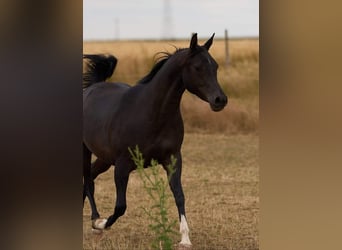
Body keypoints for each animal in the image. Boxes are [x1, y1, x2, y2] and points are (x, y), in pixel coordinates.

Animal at [82, 33, 227, 246]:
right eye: (197, 67)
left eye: (215, 66)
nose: (220, 100)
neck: (152, 113)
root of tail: (91, 88)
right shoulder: (123, 165)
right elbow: (120, 206)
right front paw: (101, 223)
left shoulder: (172, 159)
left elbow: (179, 195)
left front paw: (185, 239)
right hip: (86, 151)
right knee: (87, 180)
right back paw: (95, 220)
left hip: (104, 158)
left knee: (90, 177)